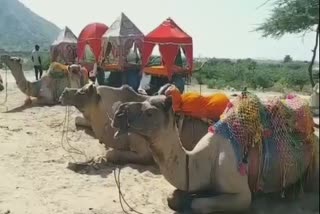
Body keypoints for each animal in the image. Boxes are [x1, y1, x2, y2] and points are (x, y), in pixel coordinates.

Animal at [112, 94, 318, 214]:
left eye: (149, 112)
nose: (118, 113)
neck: (199, 159)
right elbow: (173, 197)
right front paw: (184, 197)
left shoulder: (242, 194)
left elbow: (199, 205)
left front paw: (190, 201)